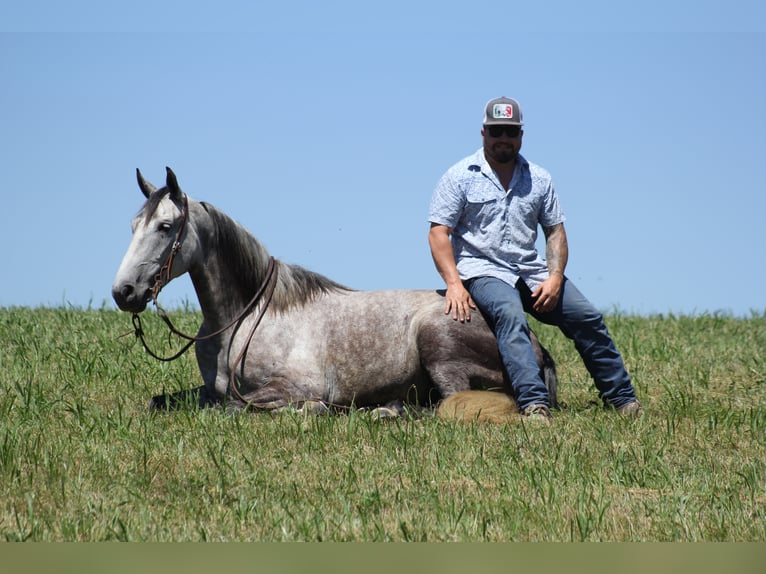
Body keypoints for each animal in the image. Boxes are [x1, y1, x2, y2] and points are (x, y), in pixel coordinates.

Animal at [112, 166, 560, 424]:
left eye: (165, 227)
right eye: (133, 225)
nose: (123, 292)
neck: (245, 320)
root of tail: (536, 347)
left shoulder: (289, 387)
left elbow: (237, 408)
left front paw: (315, 409)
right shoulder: (209, 390)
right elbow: (163, 402)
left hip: (439, 348)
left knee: (444, 406)